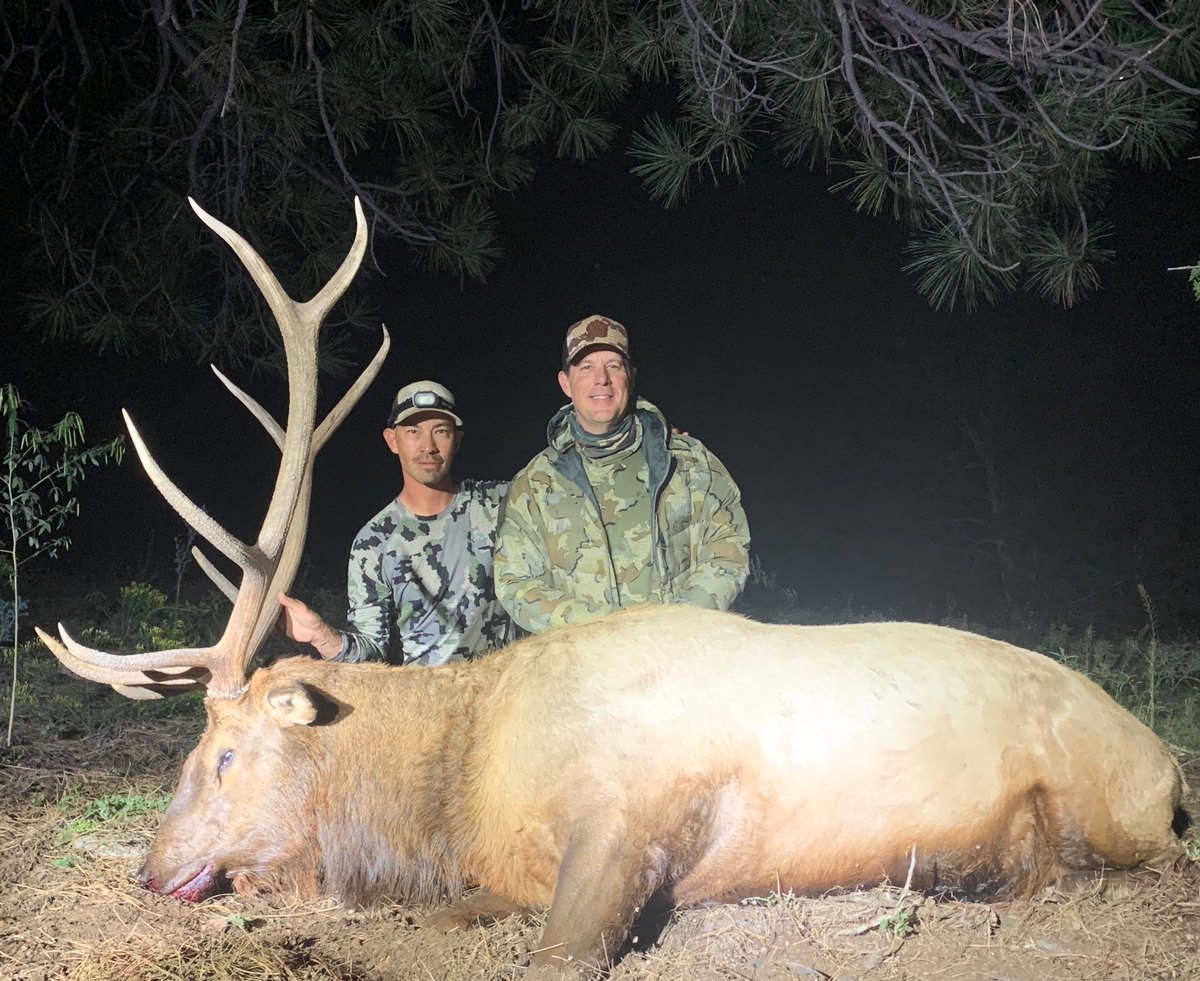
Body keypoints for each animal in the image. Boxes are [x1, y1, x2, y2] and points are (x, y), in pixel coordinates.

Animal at [37, 199, 1188, 980]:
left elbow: (551, 948)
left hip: (1113, 805)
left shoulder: (631, 811)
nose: (149, 869)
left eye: (224, 755)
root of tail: (1167, 762)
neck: (460, 786)